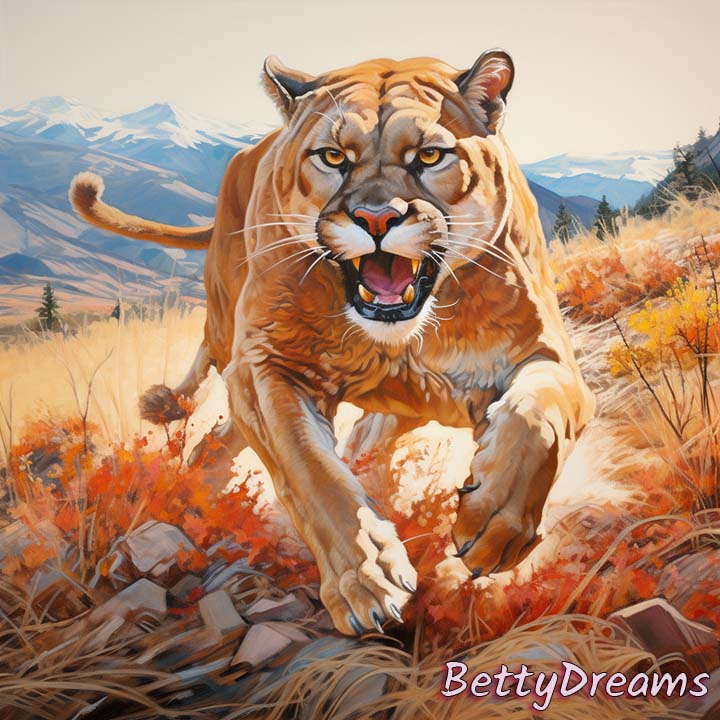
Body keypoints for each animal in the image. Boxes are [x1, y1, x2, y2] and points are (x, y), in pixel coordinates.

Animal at [69, 50, 595, 636]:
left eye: (430, 155)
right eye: (333, 157)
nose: (377, 218)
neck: (398, 341)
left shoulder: (546, 355)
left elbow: (537, 420)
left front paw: (492, 526)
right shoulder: (265, 366)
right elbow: (311, 472)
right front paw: (365, 580)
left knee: (347, 436)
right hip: (229, 329)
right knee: (219, 402)